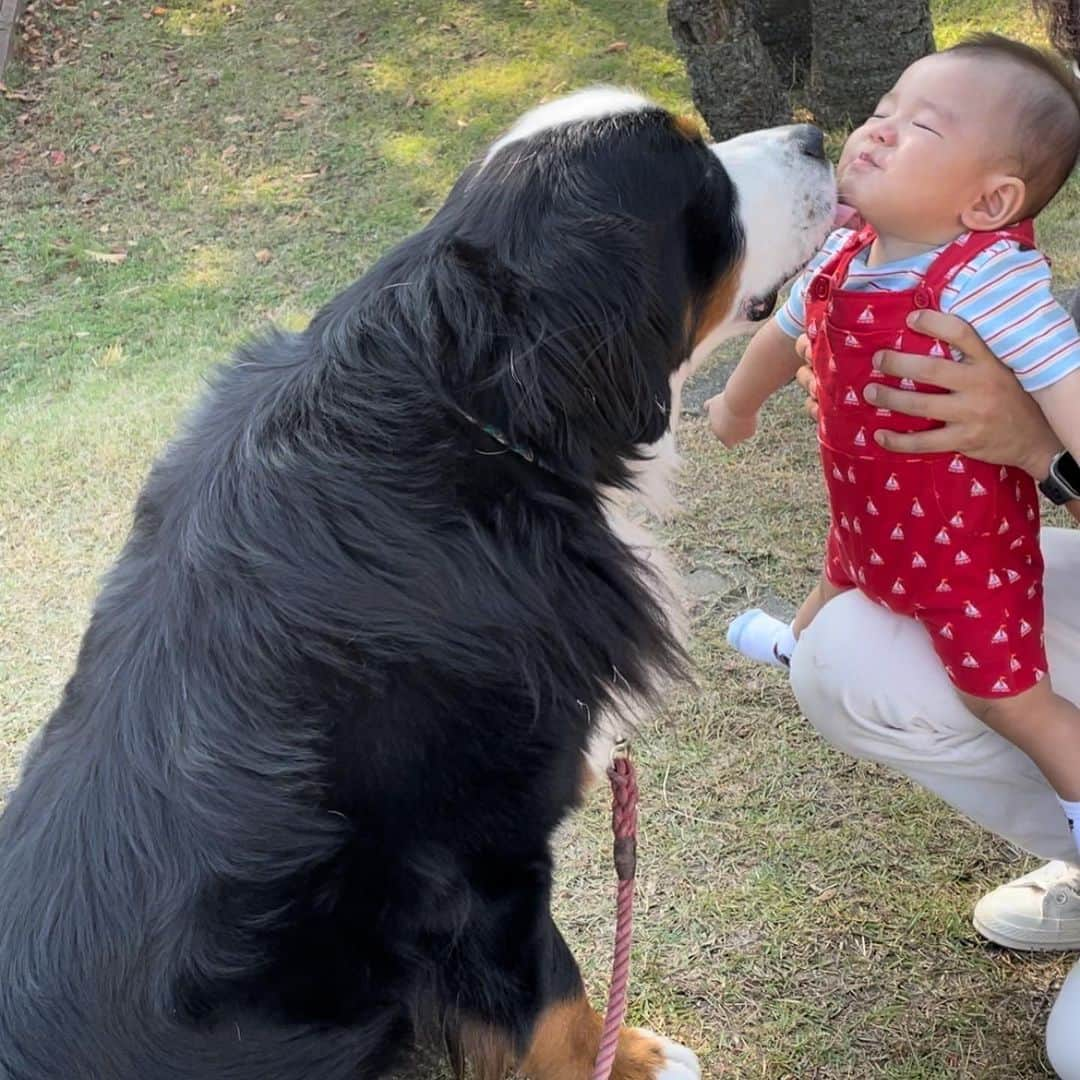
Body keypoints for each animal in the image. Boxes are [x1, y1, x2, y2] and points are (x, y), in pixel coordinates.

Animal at [0, 88, 833, 1075]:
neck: (476, 417)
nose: (818, 134)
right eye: (703, 176)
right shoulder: (478, 853)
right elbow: (553, 998)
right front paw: (623, 1055)